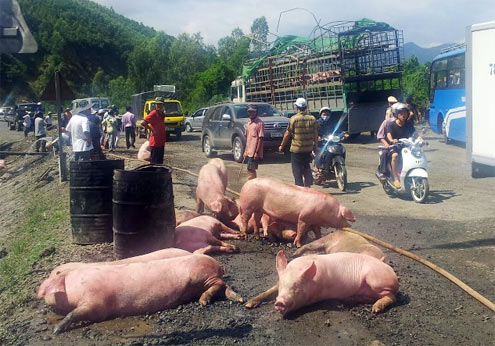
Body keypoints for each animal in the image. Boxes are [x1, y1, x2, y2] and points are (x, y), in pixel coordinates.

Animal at [37, 254, 243, 332]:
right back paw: (234, 298)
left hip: (201, 275)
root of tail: (218, 264)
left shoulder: (98, 304)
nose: (40, 294)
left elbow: (77, 312)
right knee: (223, 286)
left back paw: (205, 301)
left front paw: (56, 330)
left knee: (221, 283)